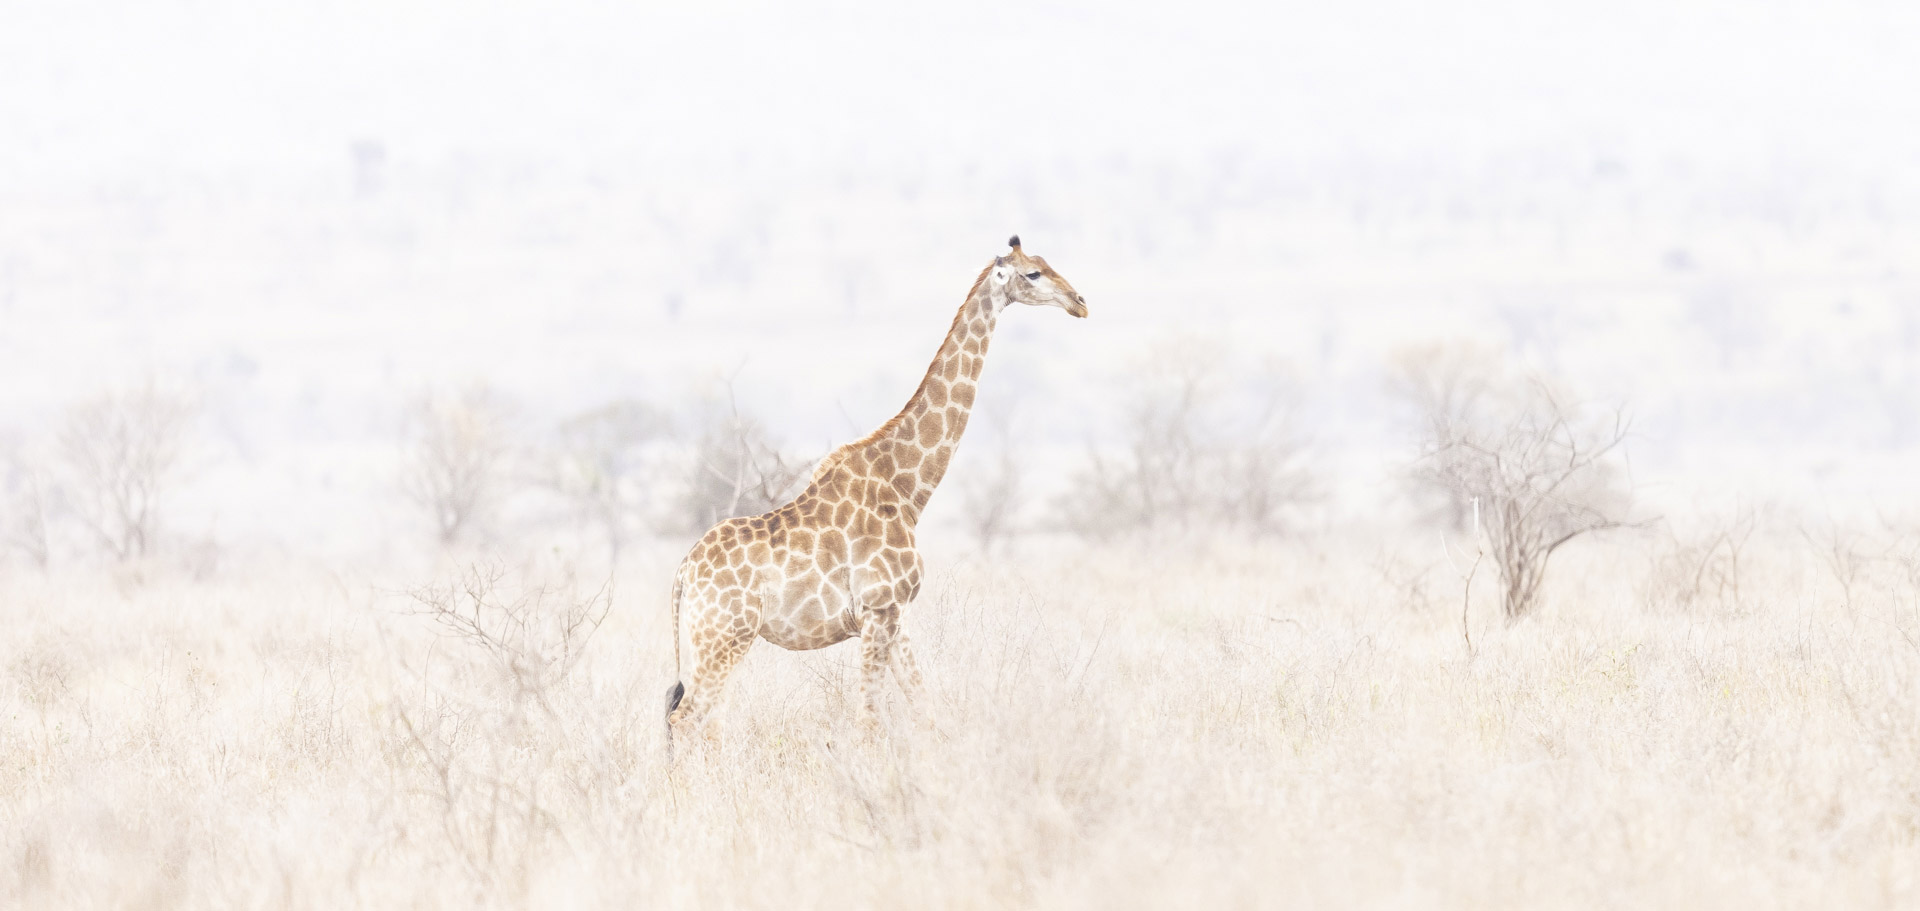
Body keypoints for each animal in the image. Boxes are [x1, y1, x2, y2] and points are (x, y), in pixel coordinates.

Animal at [660, 234, 1082, 741]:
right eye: (1032, 273)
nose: (1079, 302)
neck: (907, 487)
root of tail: (684, 572)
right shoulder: (879, 610)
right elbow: (869, 721)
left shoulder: (896, 616)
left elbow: (924, 710)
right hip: (726, 636)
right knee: (686, 718)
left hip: (712, 639)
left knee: (689, 716)